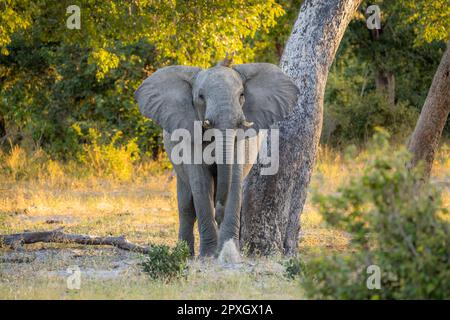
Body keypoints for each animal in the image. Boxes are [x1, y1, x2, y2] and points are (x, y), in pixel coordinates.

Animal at [135, 61, 300, 258]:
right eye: (200, 97)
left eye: (242, 95)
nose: (218, 214)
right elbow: (201, 183)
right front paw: (208, 255)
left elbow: (233, 181)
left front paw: (229, 253)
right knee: (186, 205)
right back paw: (184, 253)